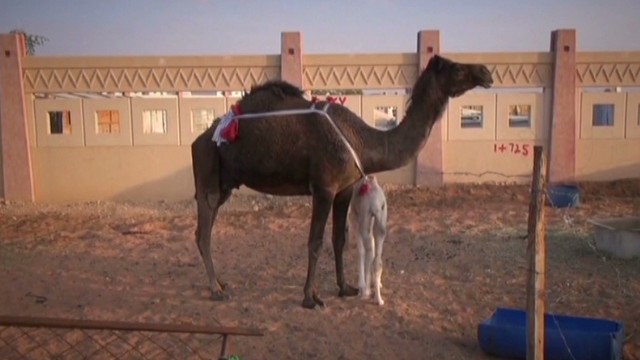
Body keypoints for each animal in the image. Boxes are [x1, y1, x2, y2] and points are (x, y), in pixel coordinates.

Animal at [350, 176, 384, 306]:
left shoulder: (355, 221)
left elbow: (360, 251)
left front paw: (362, 286)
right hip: (380, 225)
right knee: (377, 260)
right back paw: (379, 299)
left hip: (363, 224)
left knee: (368, 252)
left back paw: (367, 292)